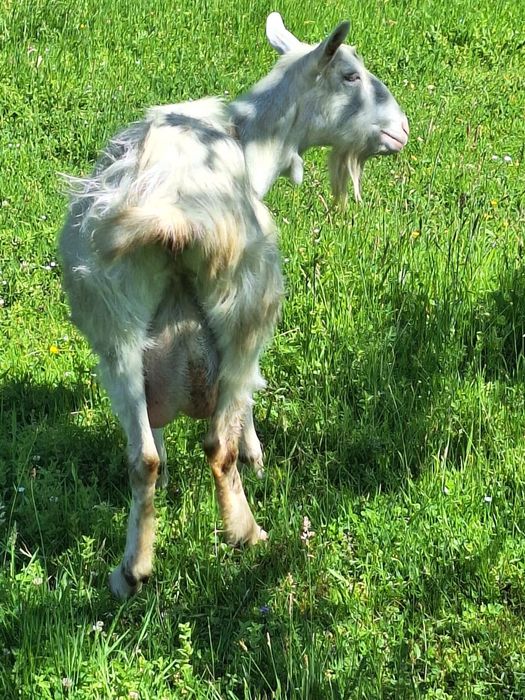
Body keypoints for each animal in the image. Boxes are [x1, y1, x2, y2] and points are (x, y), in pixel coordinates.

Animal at [59, 13, 408, 598]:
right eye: (351, 75)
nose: (401, 130)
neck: (251, 140)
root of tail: (173, 215)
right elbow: (244, 415)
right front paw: (257, 457)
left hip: (114, 330)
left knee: (142, 457)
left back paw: (132, 571)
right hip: (248, 308)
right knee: (217, 445)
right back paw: (247, 533)